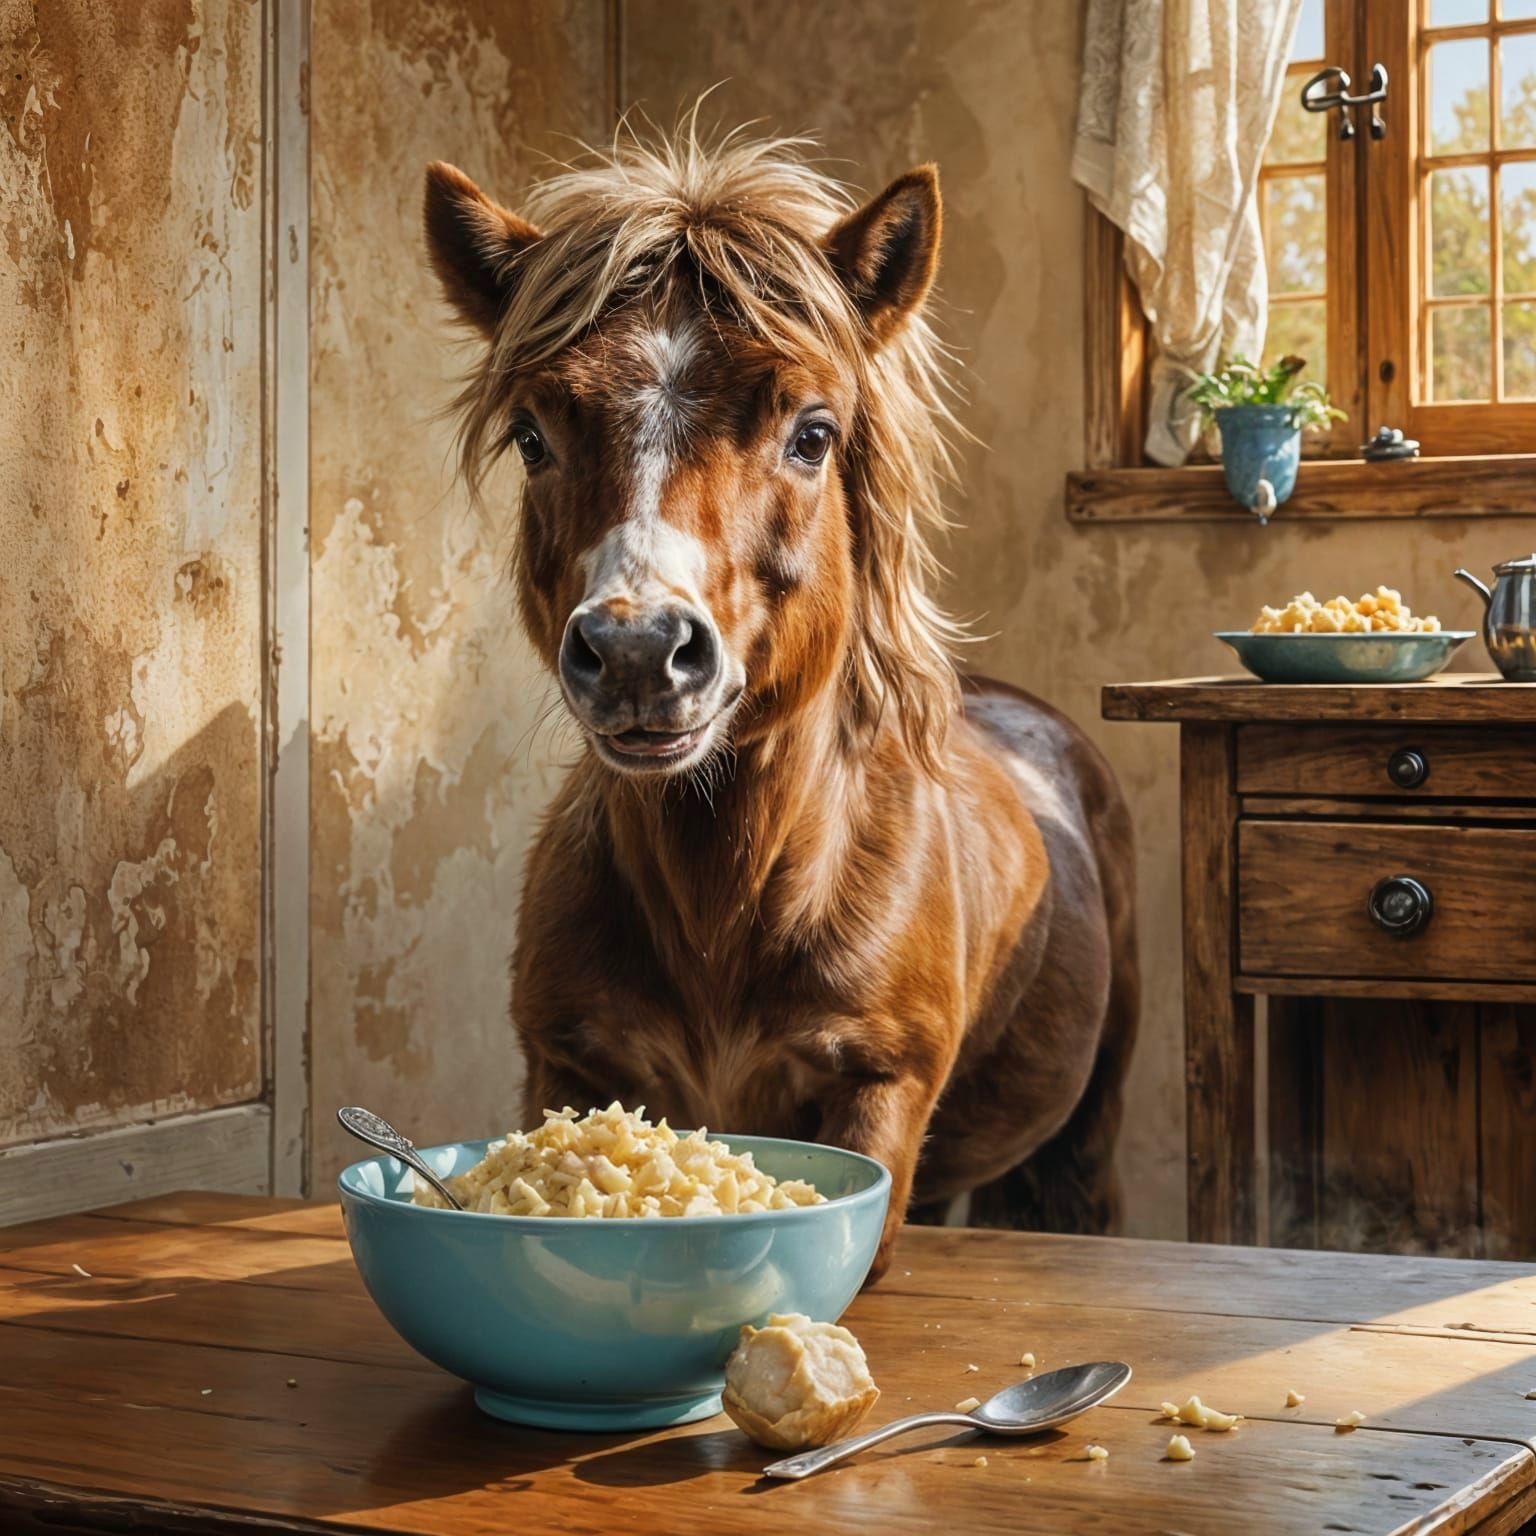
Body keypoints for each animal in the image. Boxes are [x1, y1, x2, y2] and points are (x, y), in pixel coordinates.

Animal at [423, 125, 1137, 1279]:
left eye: (813, 433)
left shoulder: (877, 1093)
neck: (728, 903)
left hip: (1081, 1140)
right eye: (532, 435)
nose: (638, 651)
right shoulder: (563, 1070)